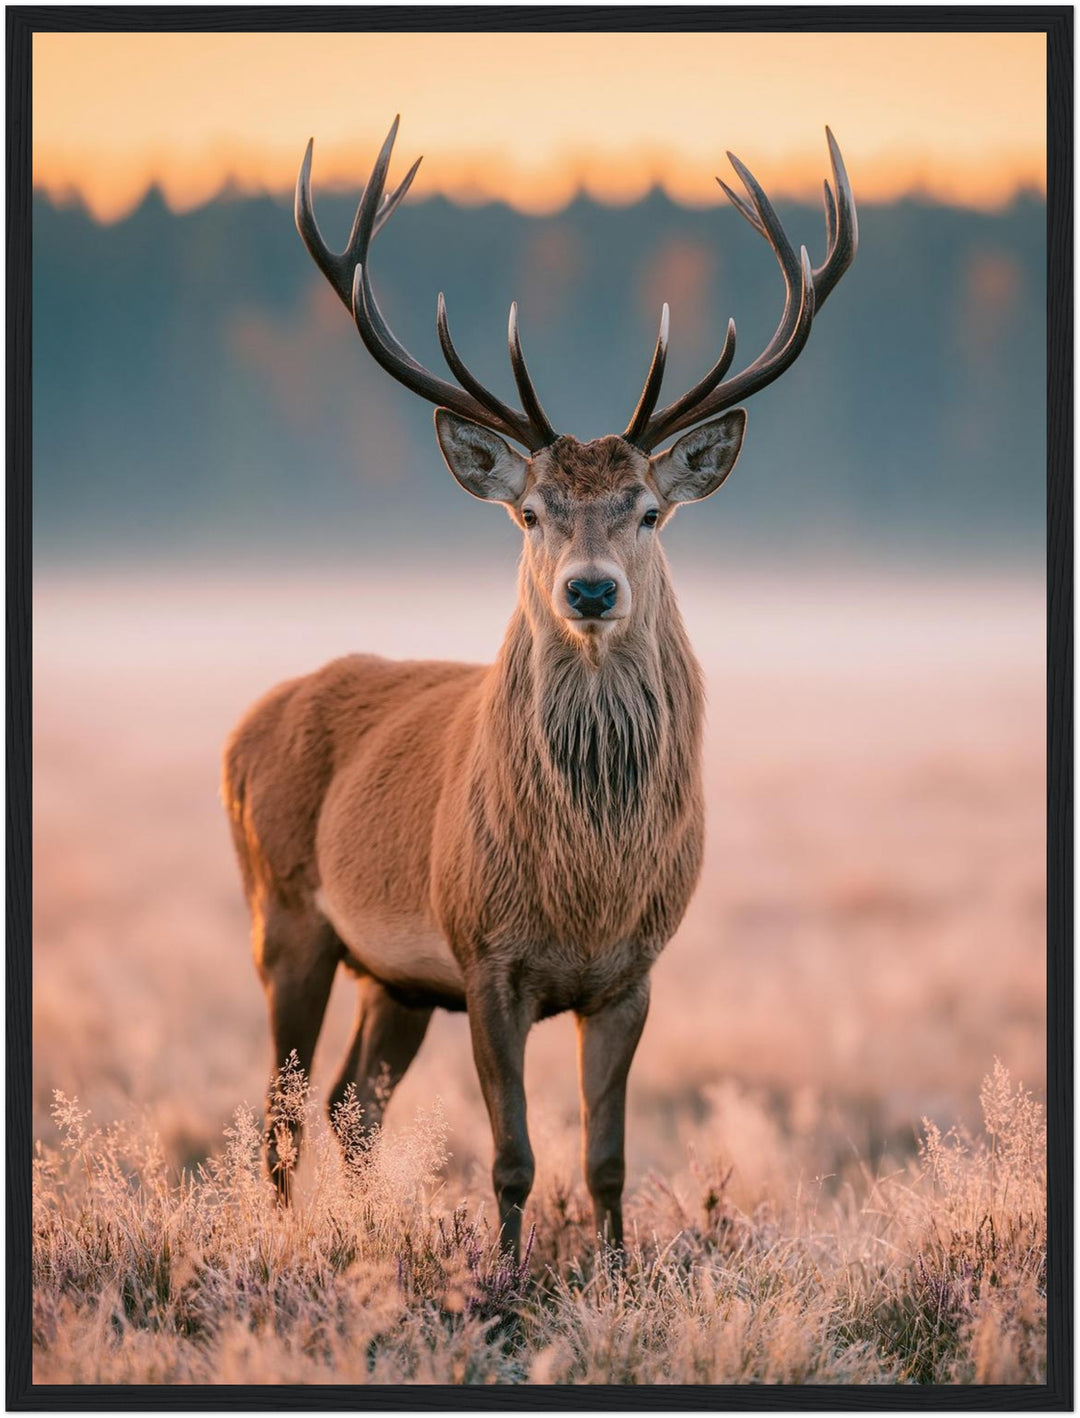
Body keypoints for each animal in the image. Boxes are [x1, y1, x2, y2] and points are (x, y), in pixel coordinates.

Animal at [223, 118, 856, 1258]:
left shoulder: (634, 971)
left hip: (395, 978)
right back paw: (283, 1240)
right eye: (530, 512)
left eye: (649, 509)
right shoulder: (486, 955)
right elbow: (512, 1156)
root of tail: (243, 728)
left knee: (349, 1104)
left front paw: (614, 1268)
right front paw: (508, 1276)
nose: (591, 587)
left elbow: (606, 1158)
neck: (584, 886)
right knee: (283, 1109)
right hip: (282, 911)